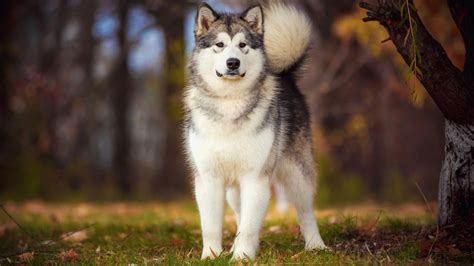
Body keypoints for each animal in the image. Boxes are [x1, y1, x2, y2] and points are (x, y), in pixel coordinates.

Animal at [183, 1, 328, 260]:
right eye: (219, 45)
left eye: (243, 45)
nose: (233, 63)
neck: (230, 103)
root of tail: (285, 75)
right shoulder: (209, 178)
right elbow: (211, 225)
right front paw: (211, 255)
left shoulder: (255, 177)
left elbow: (250, 225)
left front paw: (242, 257)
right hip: (233, 189)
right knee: (240, 212)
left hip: (296, 175)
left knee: (305, 211)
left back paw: (316, 245)